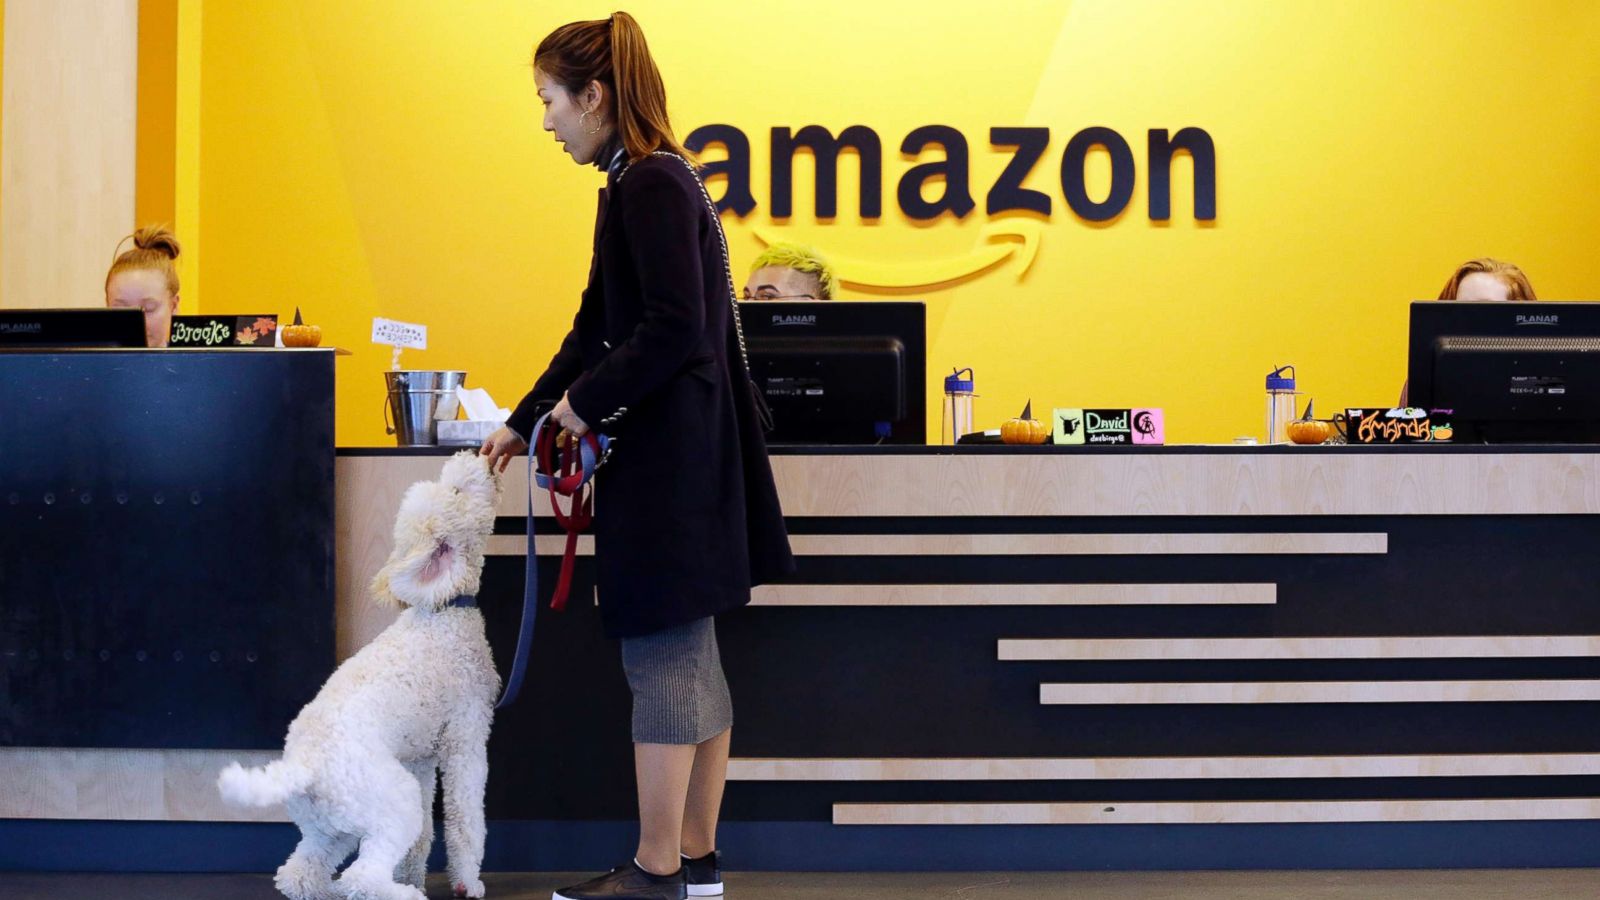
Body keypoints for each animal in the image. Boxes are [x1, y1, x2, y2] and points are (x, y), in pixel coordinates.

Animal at [219, 448, 502, 896]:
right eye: (457, 491)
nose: (475, 454)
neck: (441, 613)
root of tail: (304, 765)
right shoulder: (465, 737)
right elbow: (466, 822)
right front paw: (467, 883)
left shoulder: (419, 757)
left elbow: (424, 835)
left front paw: (413, 874)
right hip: (391, 800)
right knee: (361, 876)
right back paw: (401, 894)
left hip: (332, 824)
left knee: (299, 874)